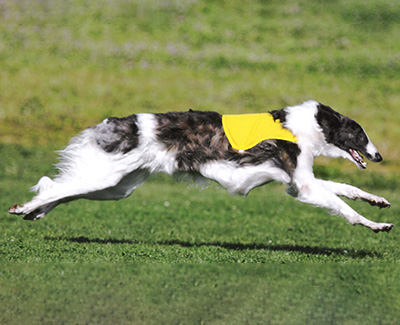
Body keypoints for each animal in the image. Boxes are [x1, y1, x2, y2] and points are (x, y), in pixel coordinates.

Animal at [8, 100, 394, 232]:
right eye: (359, 134)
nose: (379, 156)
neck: (306, 125)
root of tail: (120, 122)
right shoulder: (303, 185)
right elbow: (344, 207)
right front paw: (377, 225)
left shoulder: (296, 181)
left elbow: (350, 190)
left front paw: (378, 201)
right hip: (107, 176)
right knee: (54, 186)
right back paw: (24, 208)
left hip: (117, 187)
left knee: (56, 188)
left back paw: (35, 211)